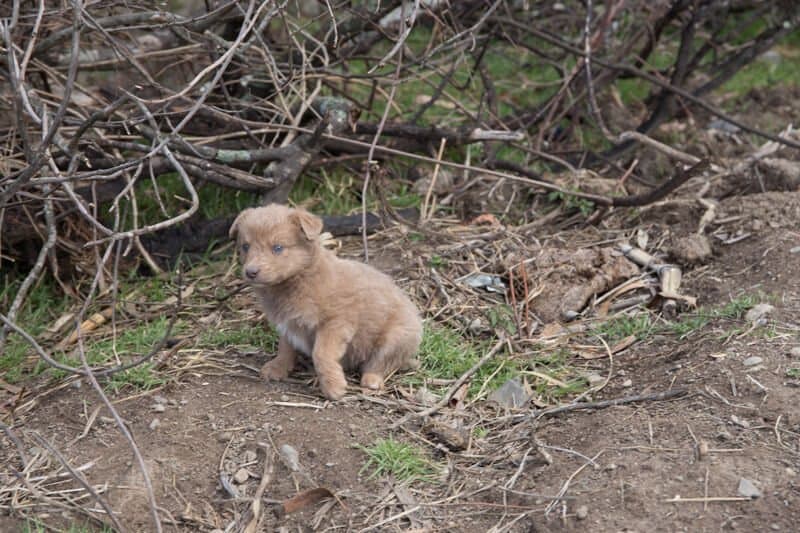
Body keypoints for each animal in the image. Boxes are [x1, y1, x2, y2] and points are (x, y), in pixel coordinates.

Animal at [228, 204, 422, 400]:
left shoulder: (336, 323)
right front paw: (277, 368)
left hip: (397, 338)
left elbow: (321, 354)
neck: (299, 278)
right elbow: (285, 348)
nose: (250, 272)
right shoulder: (288, 325)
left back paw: (371, 382)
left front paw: (333, 387)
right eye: (245, 246)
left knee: (380, 363)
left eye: (277, 248)